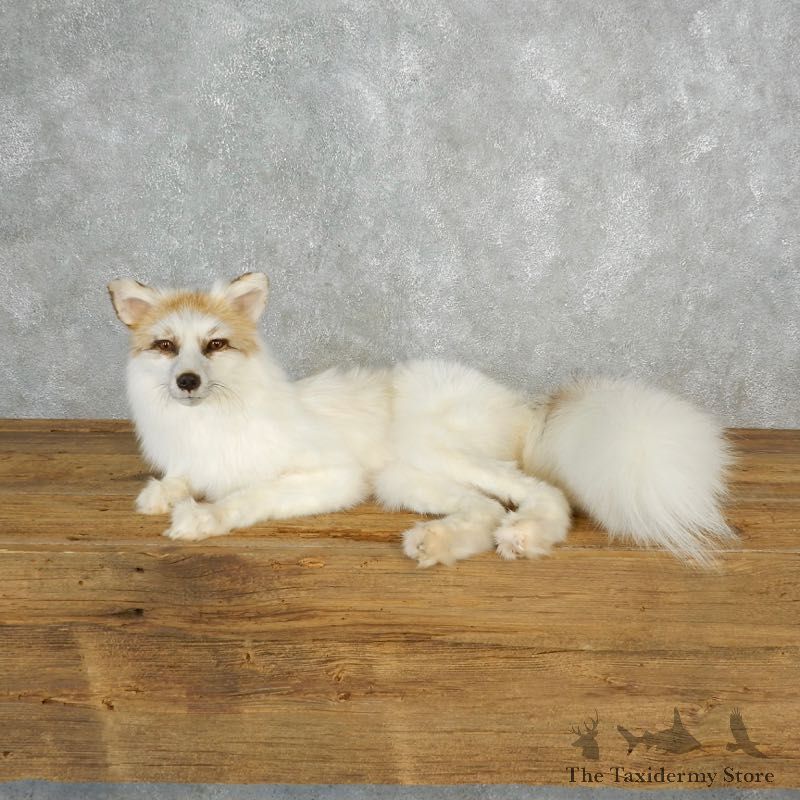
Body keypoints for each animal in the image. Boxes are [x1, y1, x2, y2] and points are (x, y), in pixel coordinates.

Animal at [108, 272, 734, 567]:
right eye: (166, 347)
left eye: (214, 345)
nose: (187, 383)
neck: (214, 421)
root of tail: (525, 409)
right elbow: (179, 479)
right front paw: (162, 495)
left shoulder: (332, 477)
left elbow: (247, 498)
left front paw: (201, 519)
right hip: (403, 478)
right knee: (485, 508)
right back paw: (440, 543)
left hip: (427, 450)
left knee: (545, 494)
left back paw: (524, 536)